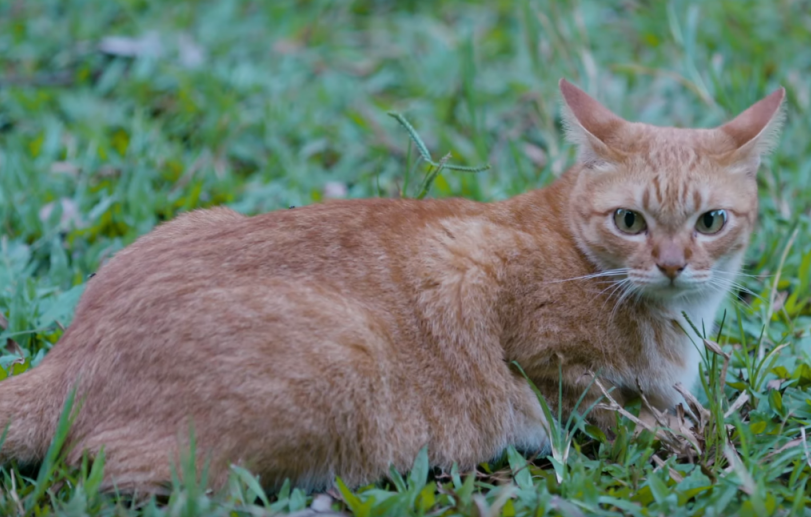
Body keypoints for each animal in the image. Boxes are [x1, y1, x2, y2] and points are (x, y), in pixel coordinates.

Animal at [0, 79, 788, 492]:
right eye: (629, 220)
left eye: (710, 221)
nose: (673, 263)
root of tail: (67, 361)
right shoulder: (538, 351)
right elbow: (607, 406)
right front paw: (672, 432)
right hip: (341, 364)